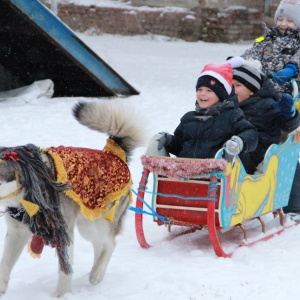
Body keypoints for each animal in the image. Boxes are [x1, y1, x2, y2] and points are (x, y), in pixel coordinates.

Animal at [0, 99, 144, 296]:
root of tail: (115, 154)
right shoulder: (16, 232)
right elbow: (4, 265)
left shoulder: (63, 232)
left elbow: (64, 270)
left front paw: (62, 295)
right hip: (87, 225)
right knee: (99, 245)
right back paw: (94, 273)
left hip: (96, 224)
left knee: (109, 244)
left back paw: (97, 273)